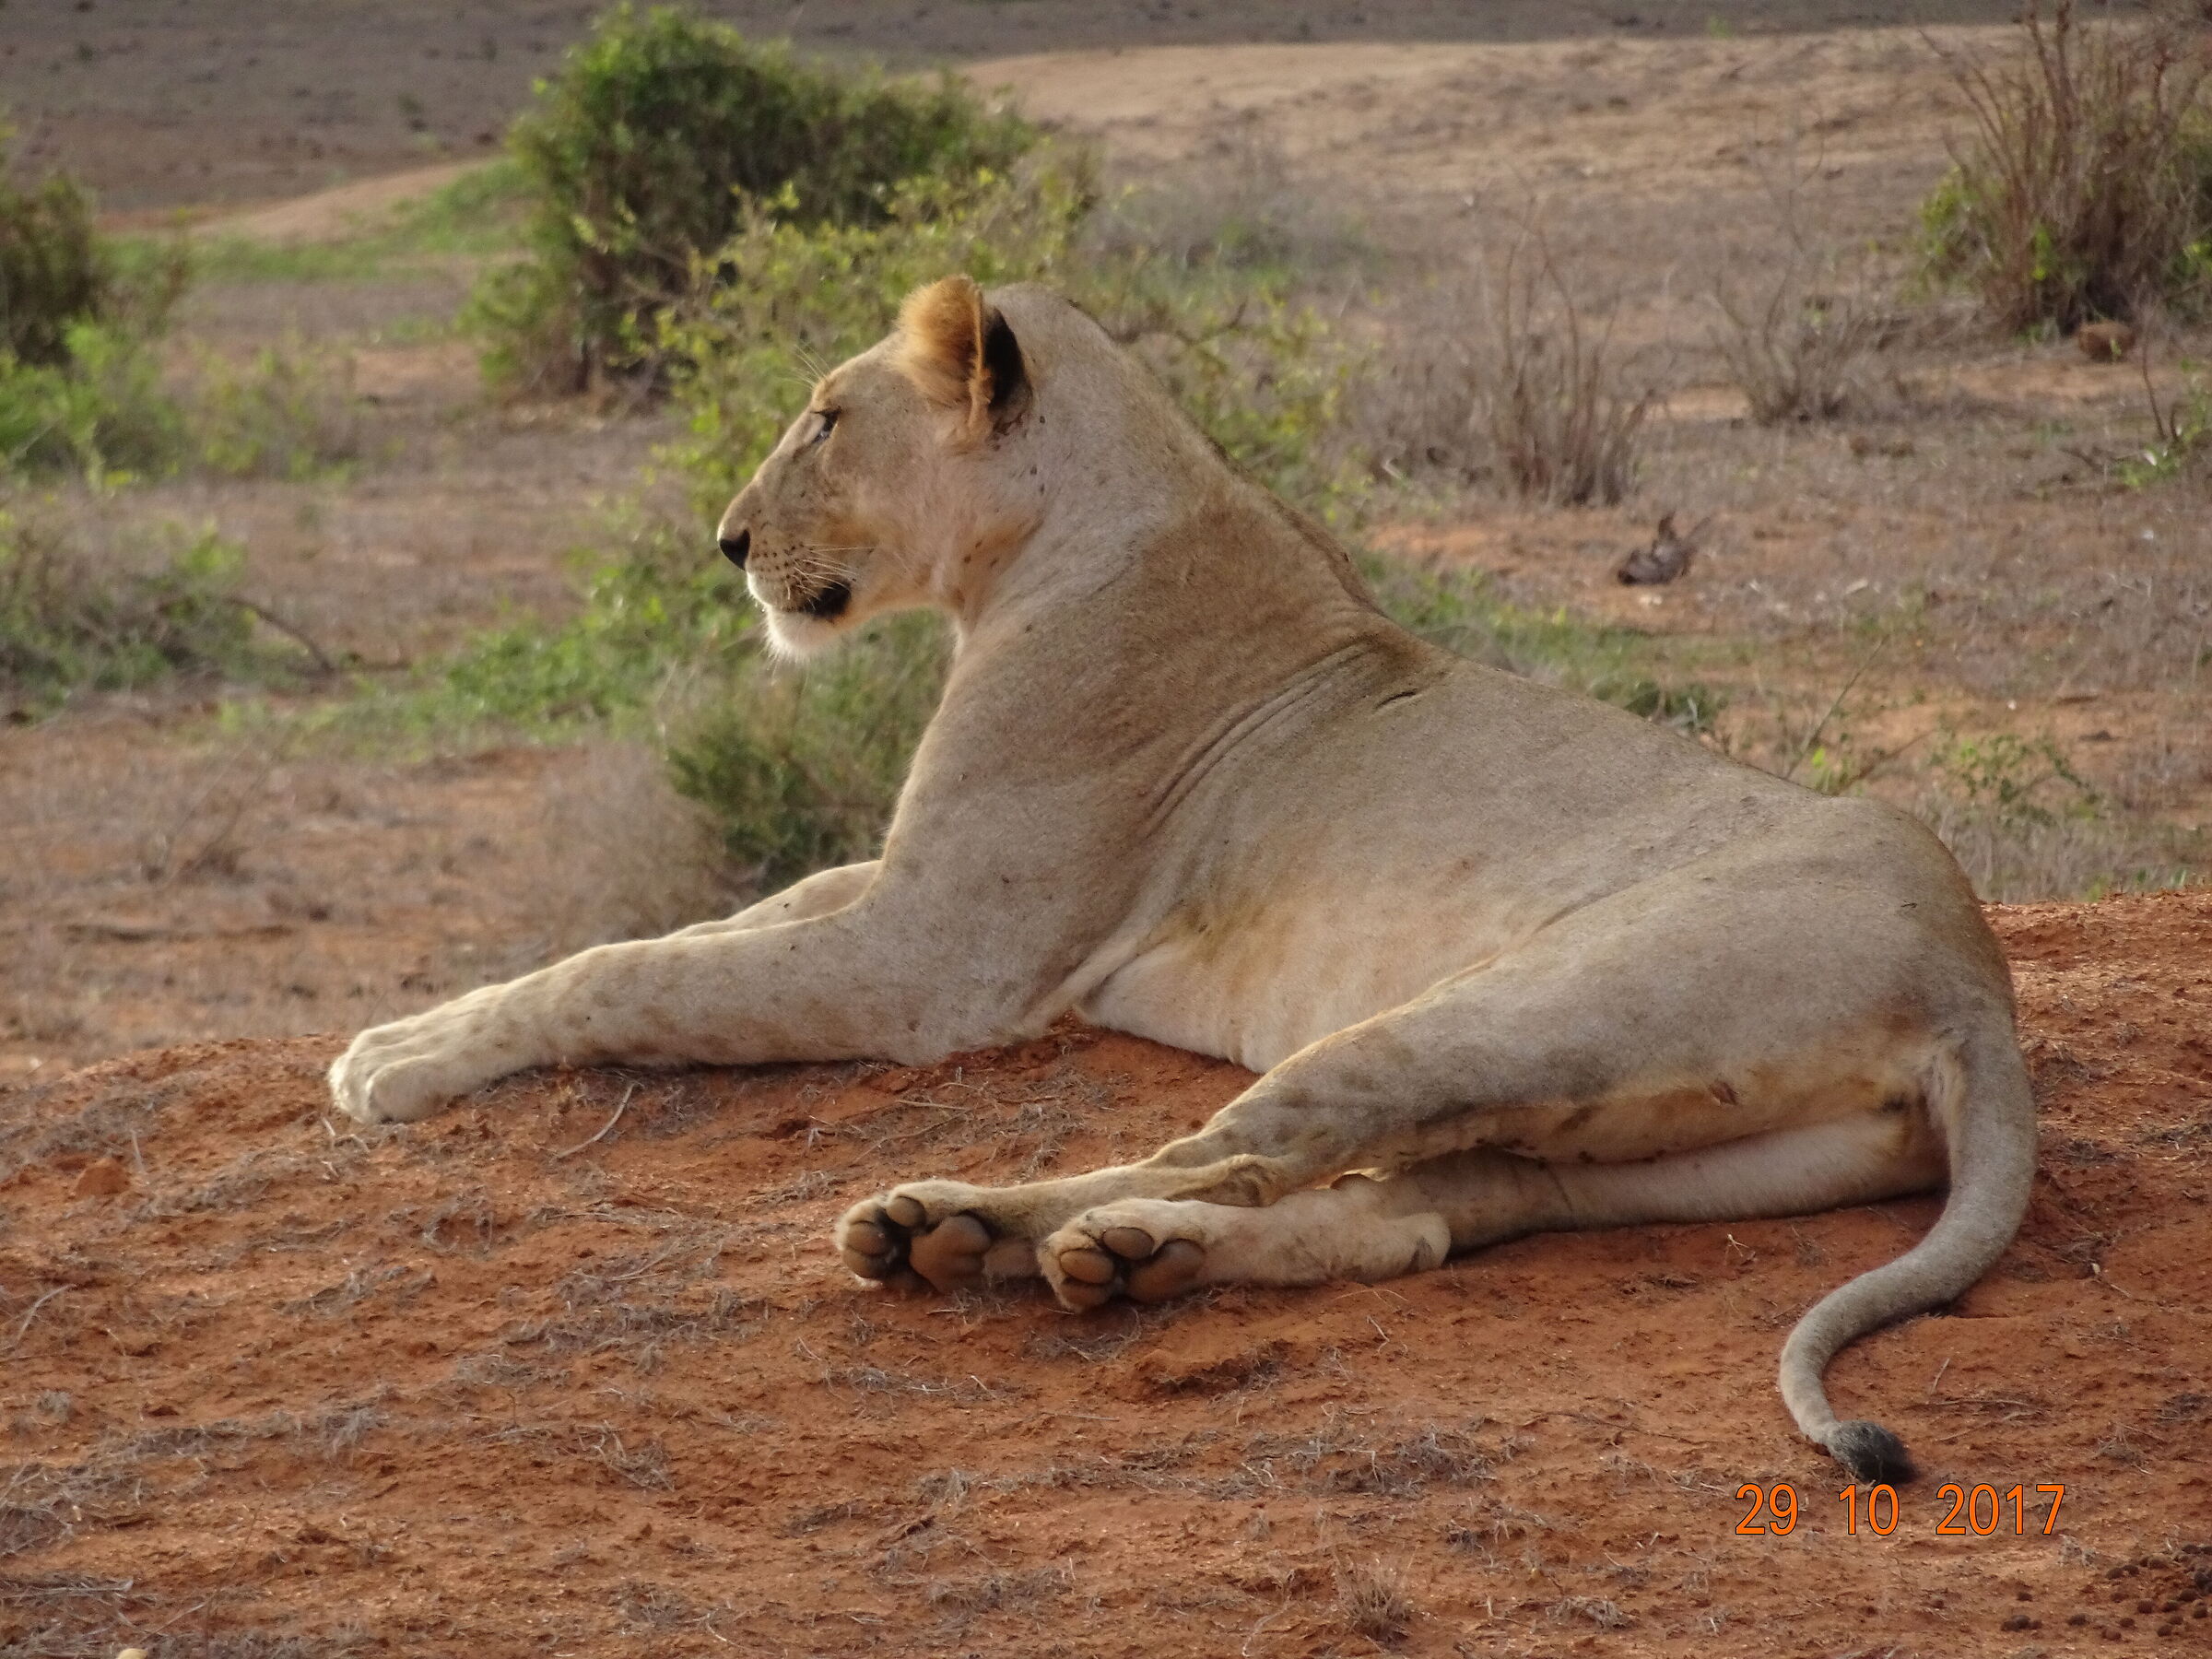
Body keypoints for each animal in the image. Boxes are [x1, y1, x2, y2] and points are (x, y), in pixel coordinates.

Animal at [332, 275, 2035, 1482]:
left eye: (824, 419)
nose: (727, 540)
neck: (1056, 542)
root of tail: (1977, 980)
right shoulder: (901, 890)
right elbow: (705, 919)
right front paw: (401, 1031)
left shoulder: (937, 963)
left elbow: (629, 970)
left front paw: (392, 1069)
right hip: (1641, 1148)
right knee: (1407, 1219)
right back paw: (1129, 1261)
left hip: (1520, 1005)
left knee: (1243, 1151)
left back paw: (952, 1228)